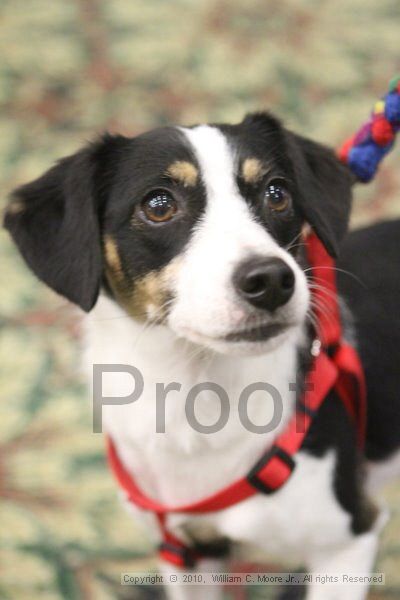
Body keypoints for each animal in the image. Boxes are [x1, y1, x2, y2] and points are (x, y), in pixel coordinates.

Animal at [3, 113, 400, 600]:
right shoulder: (186, 553)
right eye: (158, 205)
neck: (195, 393)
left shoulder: (347, 541)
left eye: (277, 194)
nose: (271, 280)